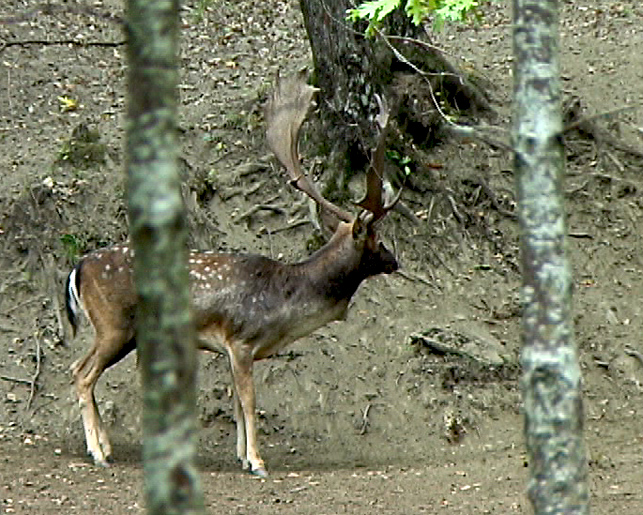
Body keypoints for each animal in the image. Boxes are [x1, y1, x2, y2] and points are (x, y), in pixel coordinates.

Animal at [64, 70, 398, 478]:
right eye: (376, 238)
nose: (395, 260)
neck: (286, 304)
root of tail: (78, 268)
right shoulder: (241, 339)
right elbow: (249, 401)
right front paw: (257, 461)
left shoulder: (232, 350)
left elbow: (238, 404)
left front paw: (241, 456)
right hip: (114, 324)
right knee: (82, 373)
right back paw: (98, 452)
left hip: (121, 332)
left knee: (79, 368)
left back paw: (106, 446)